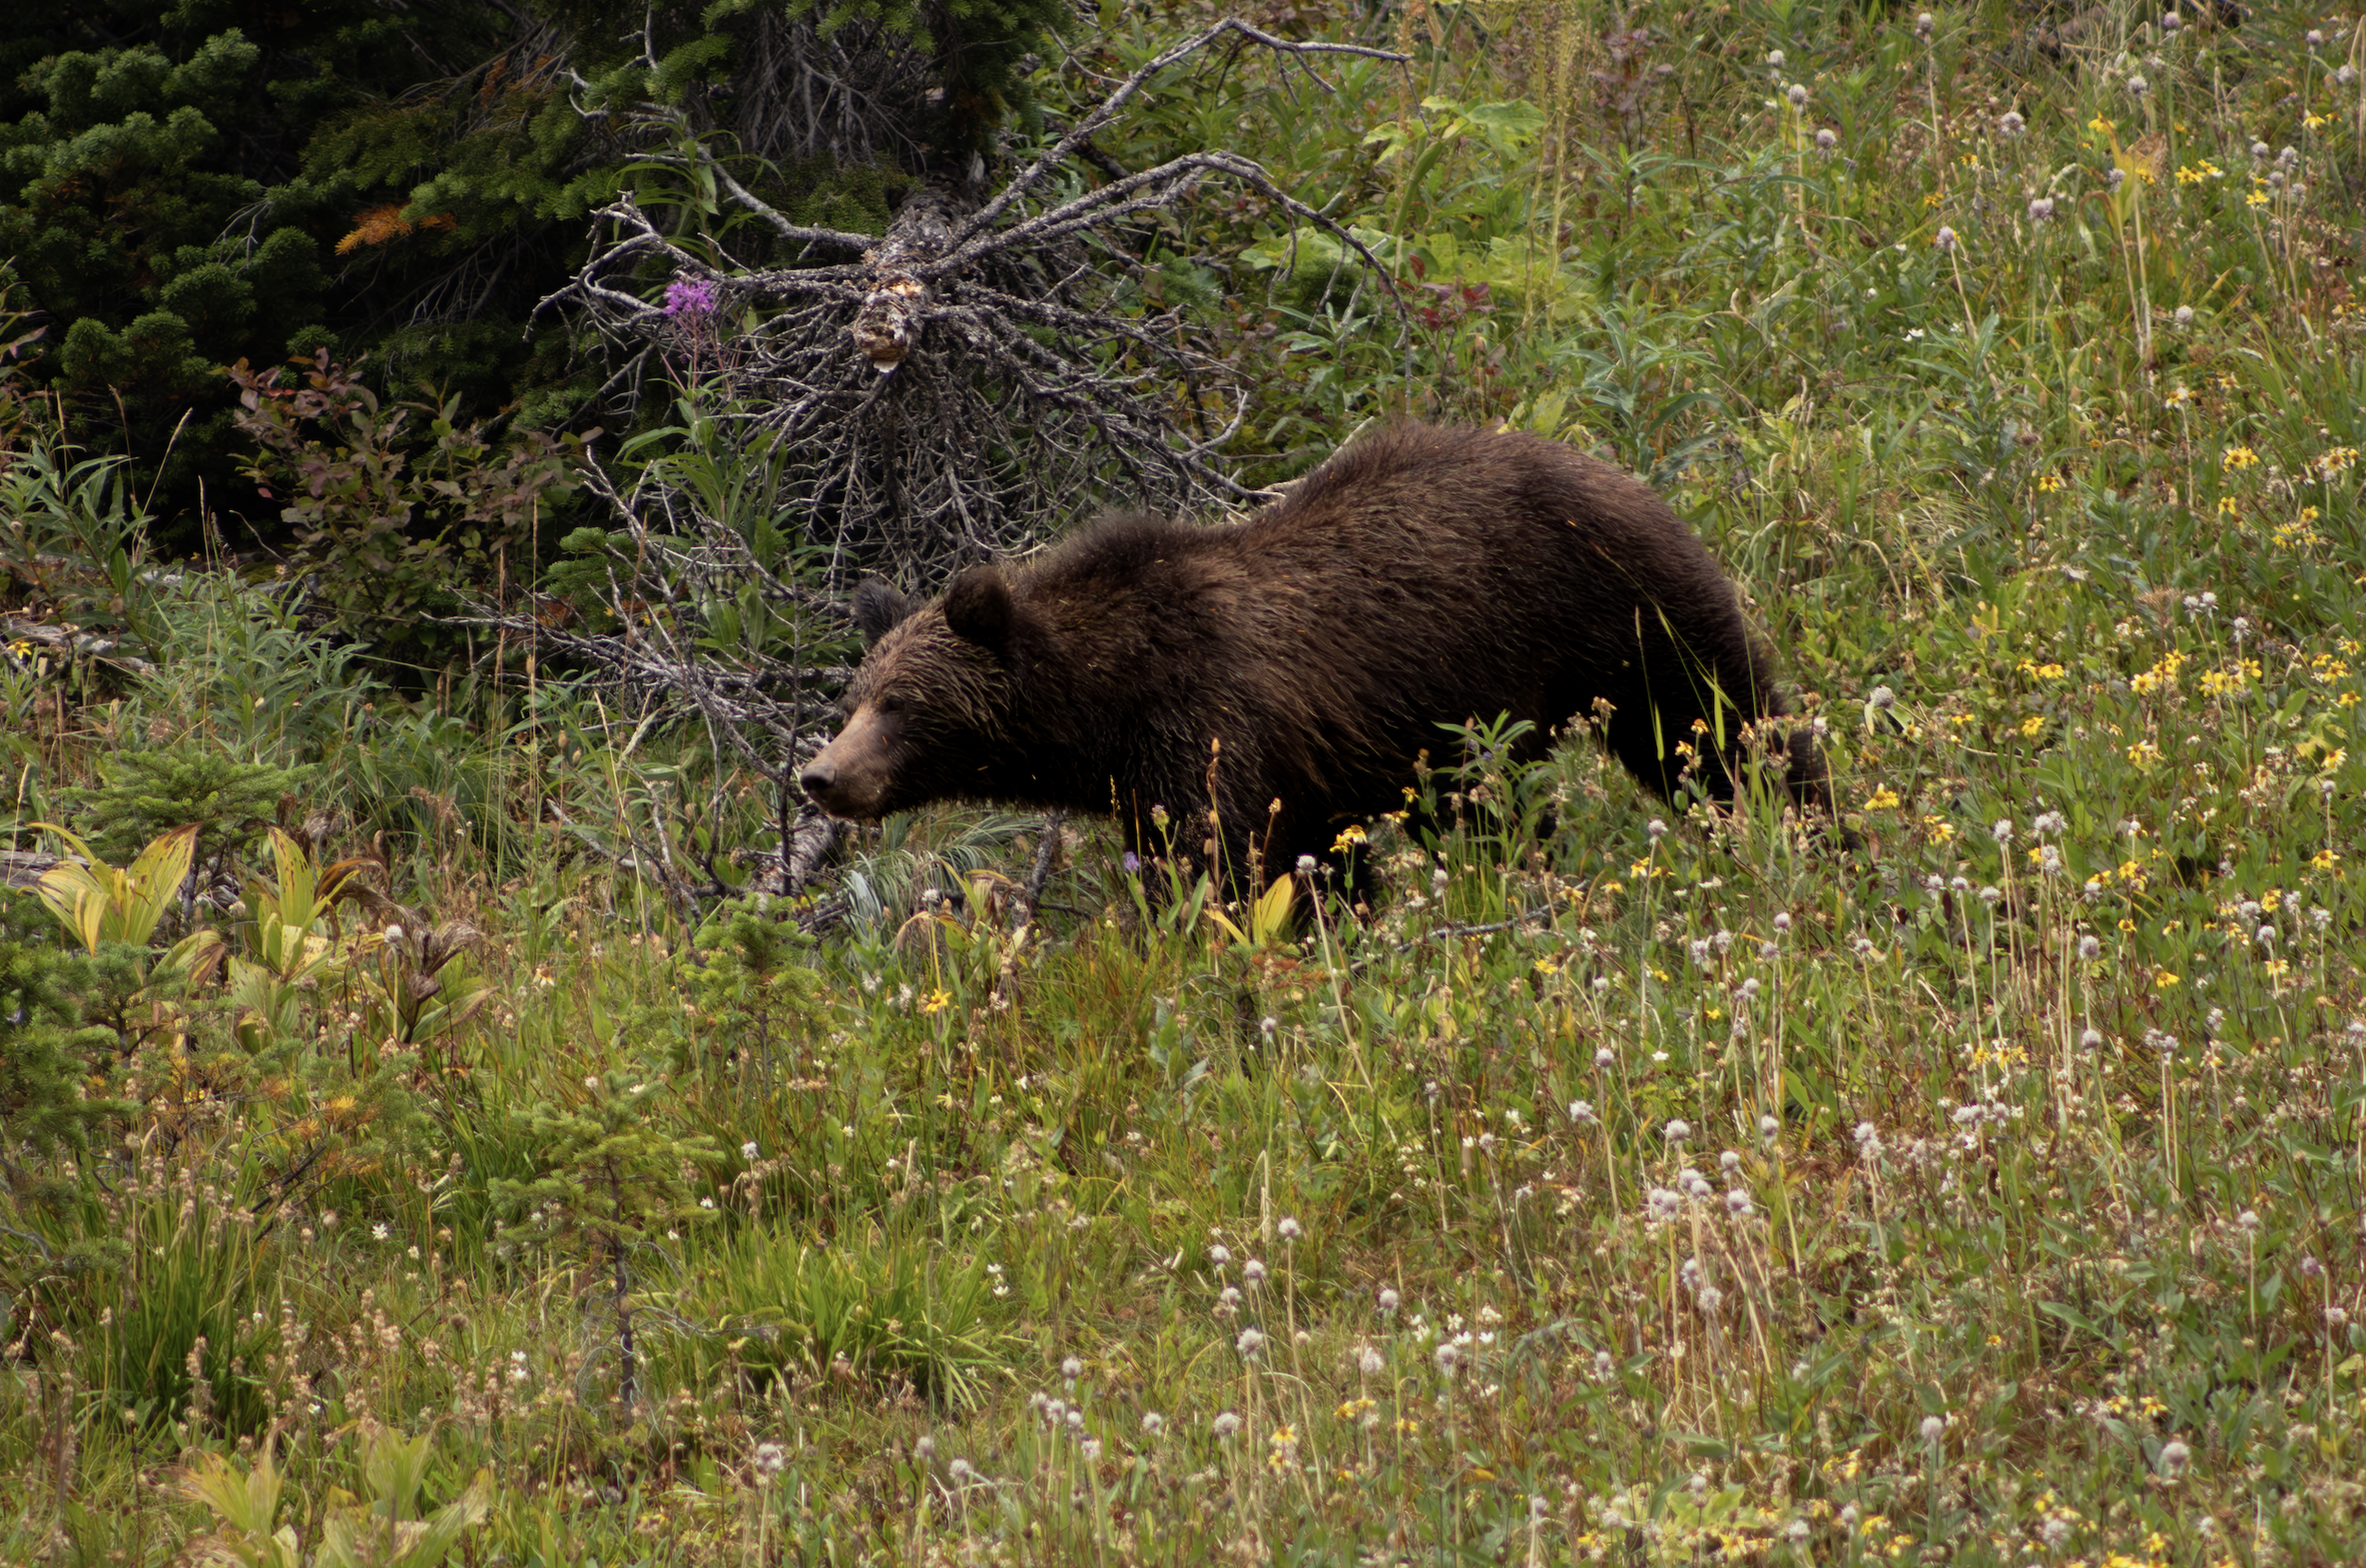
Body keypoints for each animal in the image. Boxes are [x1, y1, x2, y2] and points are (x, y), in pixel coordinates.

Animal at [799, 421, 1833, 895]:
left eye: (900, 704)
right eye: (852, 700)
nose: (820, 775)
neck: (1106, 707)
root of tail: (1621, 468)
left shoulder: (1214, 727)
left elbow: (1226, 868)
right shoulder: (1227, 776)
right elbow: (1314, 869)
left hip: (1622, 616)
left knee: (1725, 732)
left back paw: (1817, 835)